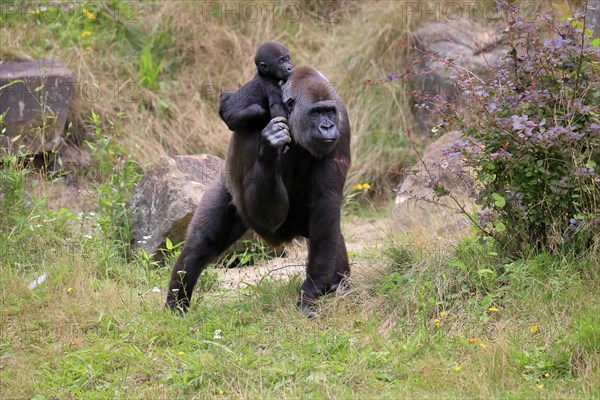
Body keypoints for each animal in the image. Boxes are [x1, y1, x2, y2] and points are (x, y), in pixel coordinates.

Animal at [165, 65, 352, 316]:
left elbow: (327, 202)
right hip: (227, 191)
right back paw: (175, 302)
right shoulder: (255, 115)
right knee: (202, 242)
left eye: (329, 112)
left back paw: (337, 286)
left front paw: (313, 288)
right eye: (315, 113)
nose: (327, 126)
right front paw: (271, 147)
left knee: (329, 232)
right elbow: (264, 213)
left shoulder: (342, 124)